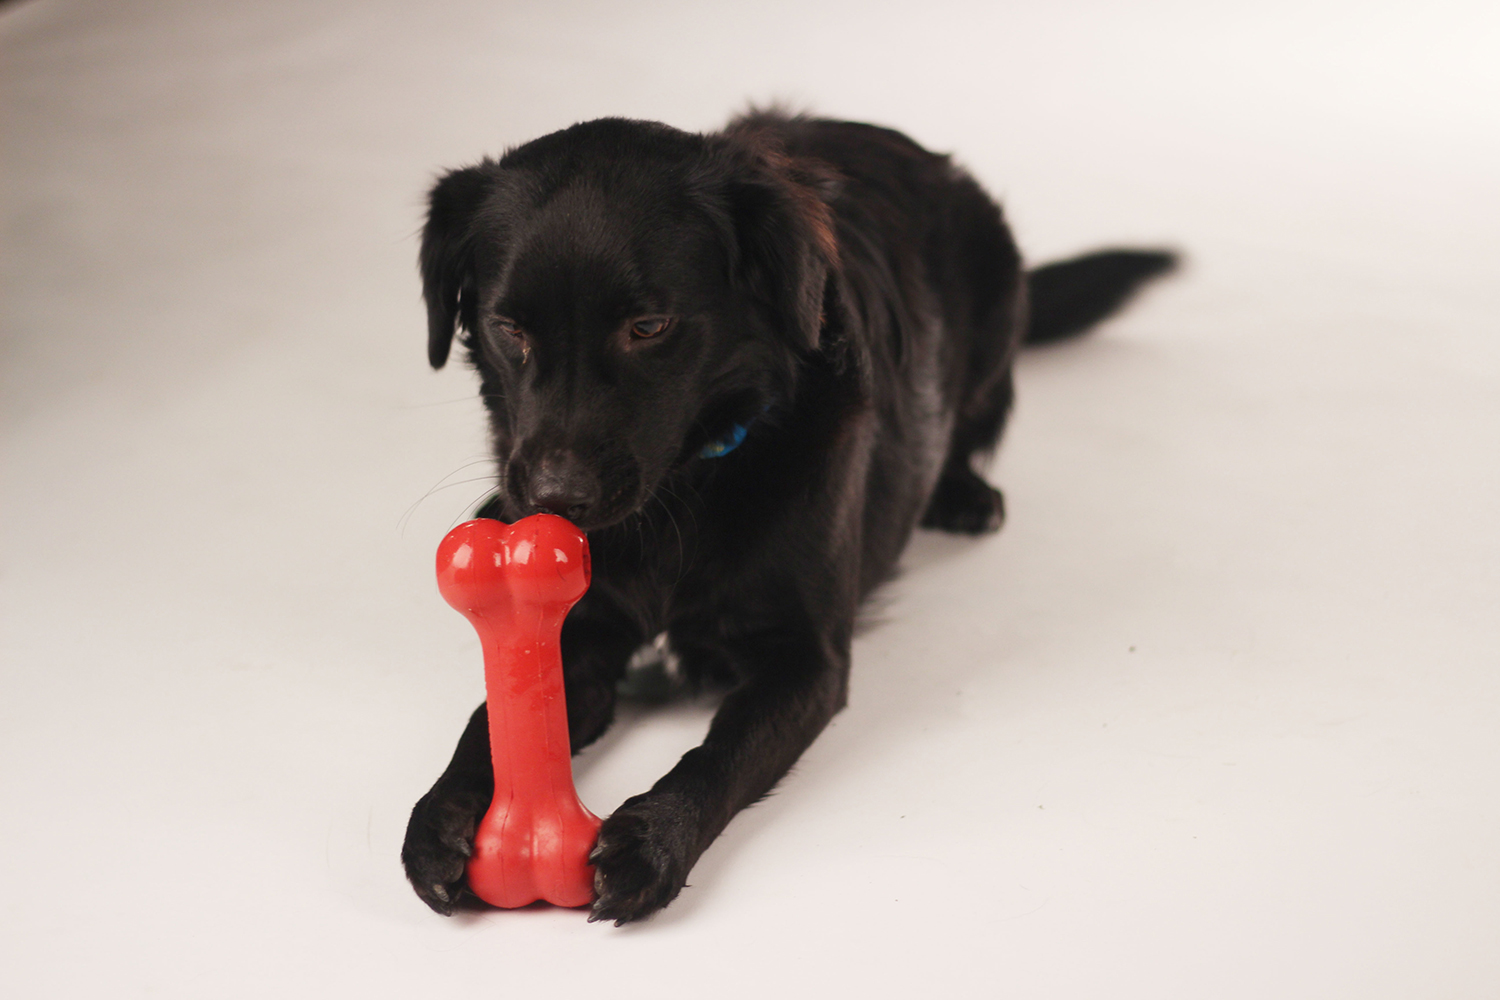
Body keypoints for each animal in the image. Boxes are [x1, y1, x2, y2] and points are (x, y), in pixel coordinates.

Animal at [405, 109, 1176, 923]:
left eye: (649, 327)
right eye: (509, 328)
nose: (555, 500)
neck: (687, 491)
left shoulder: (806, 660)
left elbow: (722, 752)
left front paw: (653, 839)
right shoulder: (574, 637)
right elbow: (489, 723)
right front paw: (438, 819)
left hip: (1000, 309)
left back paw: (964, 494)